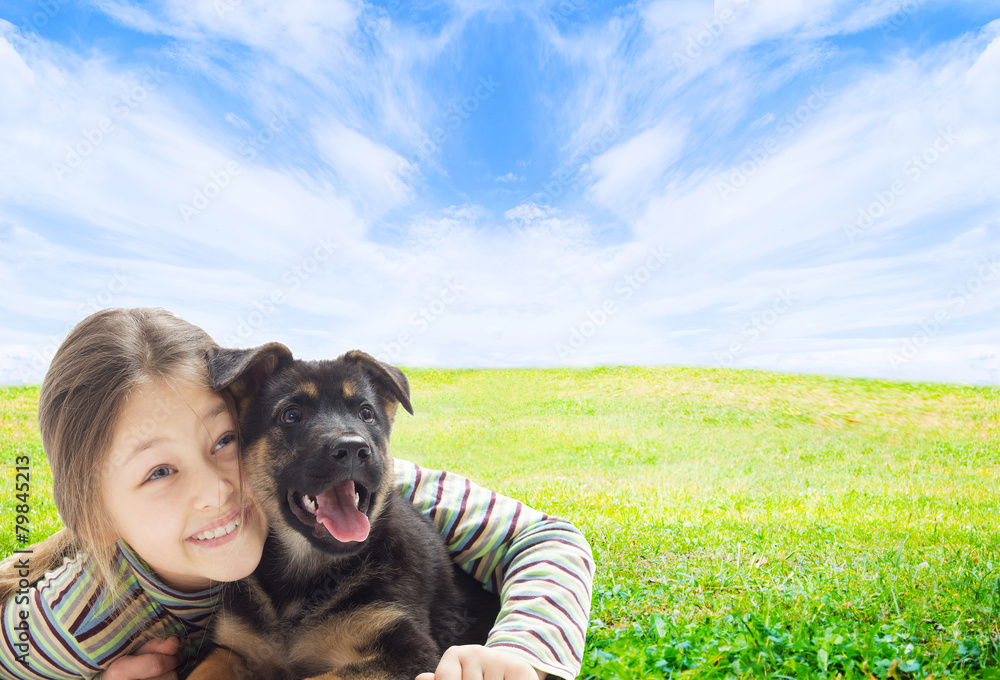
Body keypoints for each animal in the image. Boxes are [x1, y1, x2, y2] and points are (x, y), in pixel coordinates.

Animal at [188, 346, 500, 680]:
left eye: (366, 413)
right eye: (291, 415)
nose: (353, 449)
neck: (307, 577)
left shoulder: (409, 651)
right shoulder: (233, 649)